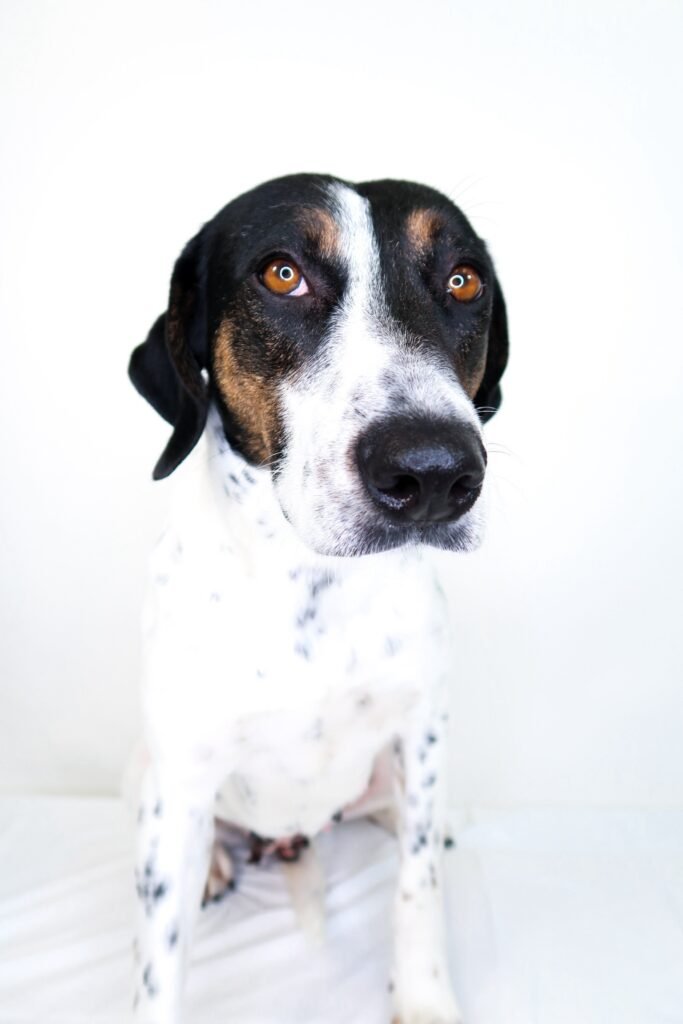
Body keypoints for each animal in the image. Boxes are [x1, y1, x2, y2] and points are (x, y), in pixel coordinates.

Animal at [129, 173, 508, 1024]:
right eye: (281, 274)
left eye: (463, 280)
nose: (433, 471)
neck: (312, 584)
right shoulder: (179, 776)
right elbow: (158, 960)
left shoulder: (421, 726)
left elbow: (416, 884)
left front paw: (422, 996)